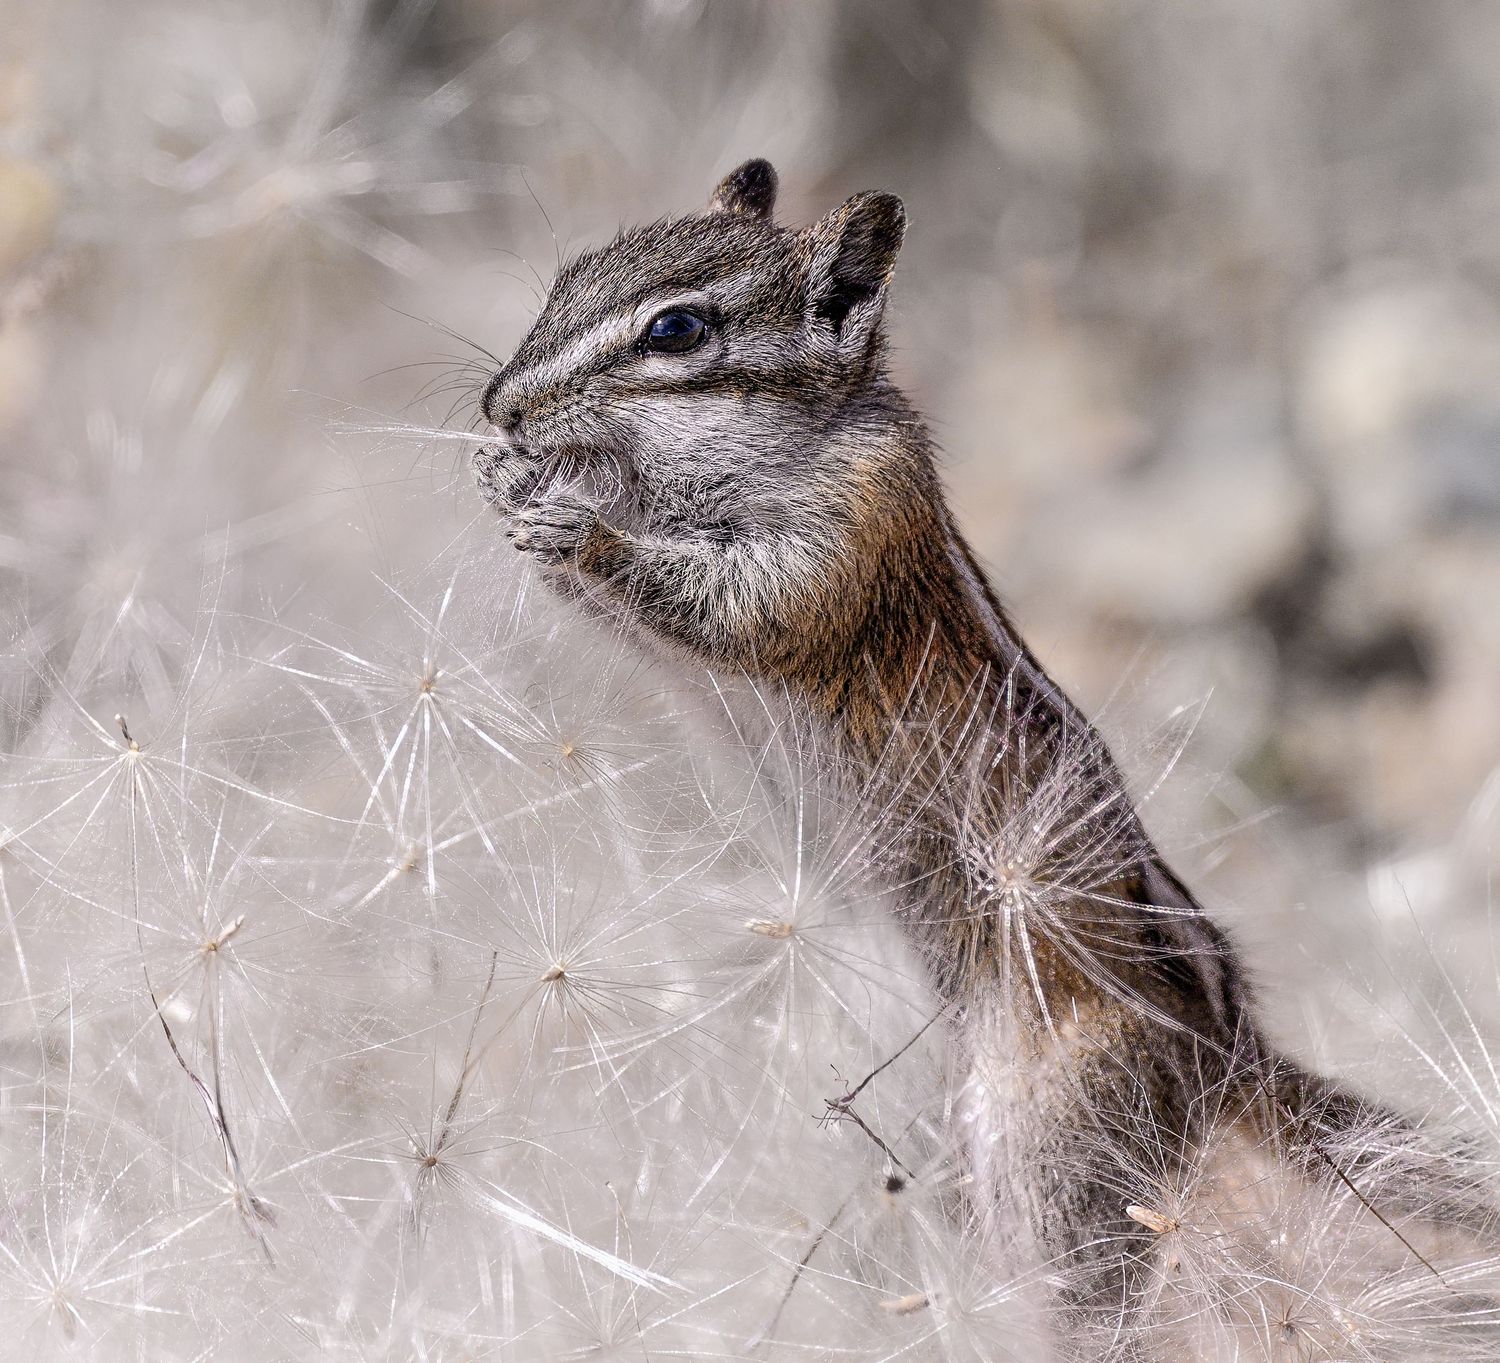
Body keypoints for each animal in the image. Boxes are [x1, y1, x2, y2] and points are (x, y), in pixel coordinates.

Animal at [469, 160, 1493, 1312]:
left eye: (676, 329)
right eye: (568, 276)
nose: (499, 406)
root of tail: (1235, 1055)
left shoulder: (847, 533)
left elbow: (729, 607)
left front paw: (582, 527)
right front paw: (508, 483)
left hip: (1056, 1152)